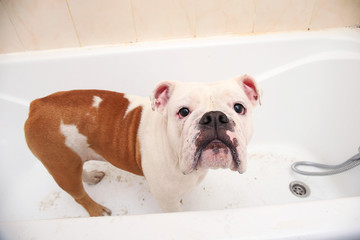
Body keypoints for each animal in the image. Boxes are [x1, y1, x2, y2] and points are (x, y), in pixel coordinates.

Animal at [25, 74, 262, 216]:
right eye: (183, 111)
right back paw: (97, 210)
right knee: (78, 195)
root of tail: (37, 105)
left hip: (69, 160)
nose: (214, 117)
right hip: (60, 165)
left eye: (239, 107)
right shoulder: (167, 202)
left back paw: (91, 176)